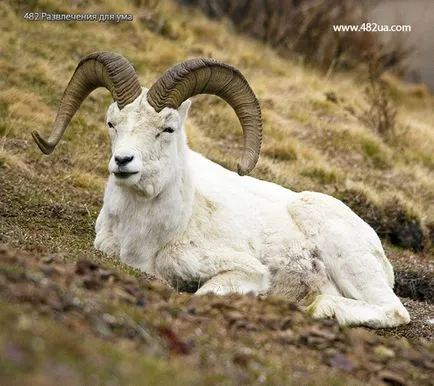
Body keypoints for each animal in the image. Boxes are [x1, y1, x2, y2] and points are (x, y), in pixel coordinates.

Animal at [34, 52, 410, 328]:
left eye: (168, 129)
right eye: (112, 123)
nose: (123, 161)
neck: (149, 235)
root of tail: (378, 248)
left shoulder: (244, 271)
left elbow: (203, 295)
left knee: (392, 310)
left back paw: (319, 307)